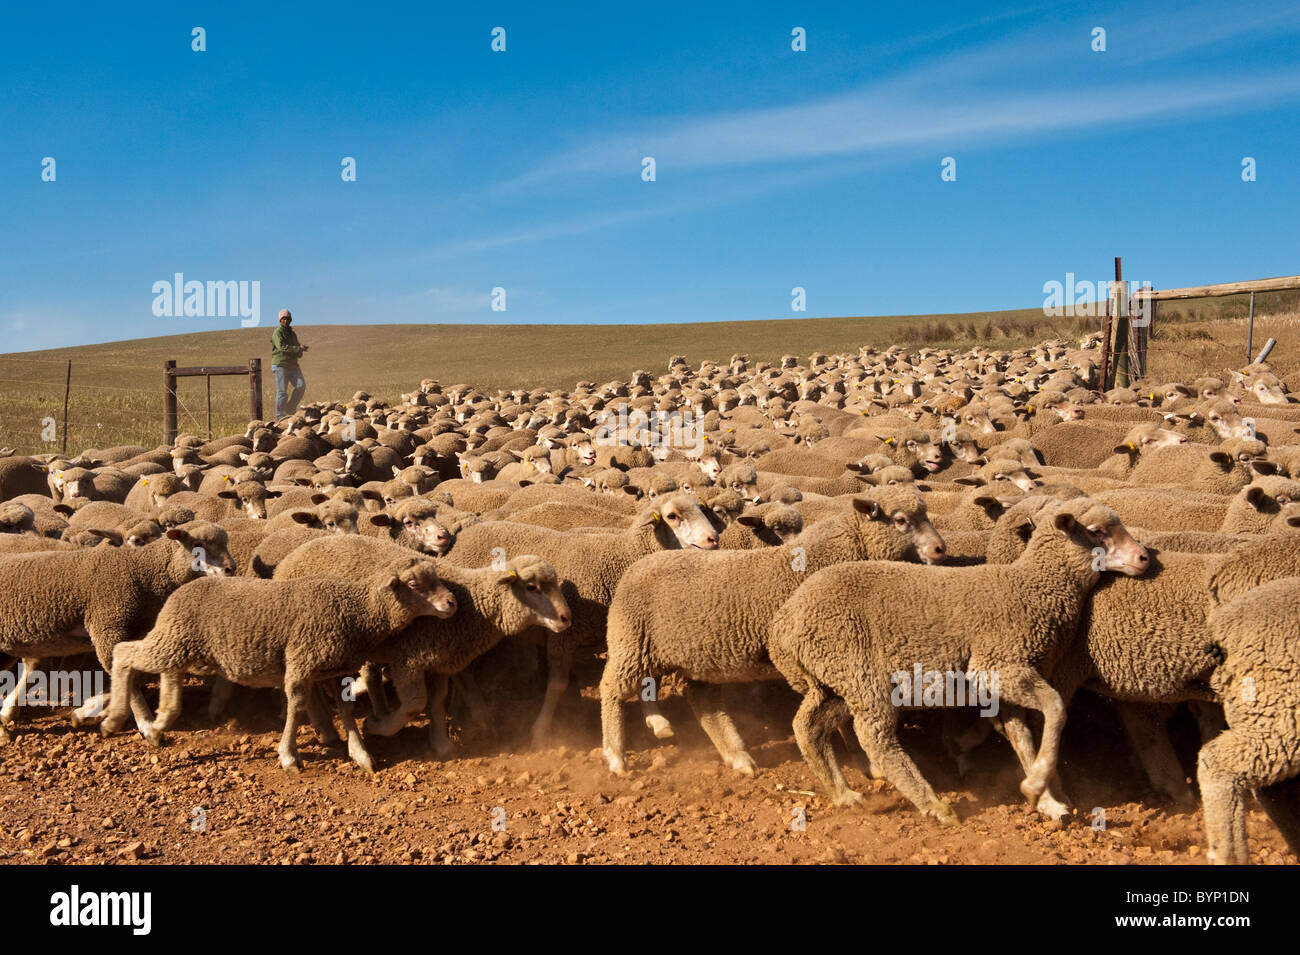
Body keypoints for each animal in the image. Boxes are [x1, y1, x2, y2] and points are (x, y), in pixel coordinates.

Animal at [97, 556, 452, 774]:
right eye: (414, 584)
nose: (451, 603)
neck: (358, 610)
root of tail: (179, 593)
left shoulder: (335, 669)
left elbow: (347, 711)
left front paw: (360, 753)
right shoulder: (301, 661)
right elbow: (296, 707)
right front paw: (289, 756)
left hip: (180, 646)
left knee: (169, 677)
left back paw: (158, 726)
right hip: (173, 639)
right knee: (124, 653)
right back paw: (117, 720)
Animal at [598, 485, 946, 779]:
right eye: (900, 520)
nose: (940, 549)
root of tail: (637, 567)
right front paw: (866, 763)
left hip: (699, 659)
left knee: (703, 702)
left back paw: (737, 755)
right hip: (631, 645)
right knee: (611, 689)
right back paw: (616, 755)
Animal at [764, 493, 1144, 821]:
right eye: (1096, 530)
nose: (1144, 558)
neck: (1032, 588)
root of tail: (784, 622)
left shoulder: (1006, 683)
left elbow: (1021, 736)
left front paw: (1046, 799)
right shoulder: (997, 665)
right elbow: (1056, 708)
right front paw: (1036, 785)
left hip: (833, 680)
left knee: (808, 728)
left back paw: (844, 795)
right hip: (860, 674)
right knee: (873, 737)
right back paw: (933, 805)